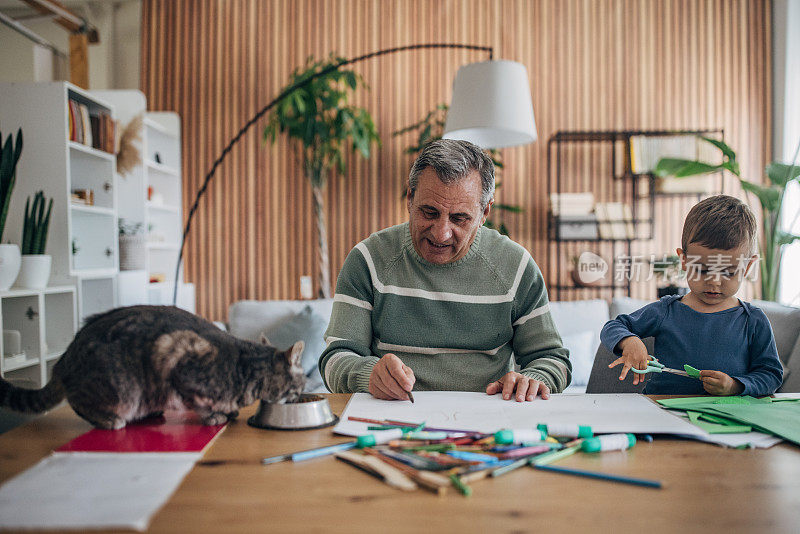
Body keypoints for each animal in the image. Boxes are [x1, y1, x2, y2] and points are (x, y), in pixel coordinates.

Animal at [0, 308, 304, 430]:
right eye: (300, 386)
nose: (302, 396)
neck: (246, 367)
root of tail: (62, 362)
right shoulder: (176, 355)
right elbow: (199, 403)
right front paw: (215, 416)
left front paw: (227, 411)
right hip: (121, 390)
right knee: (78, 402)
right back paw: (109, 420)